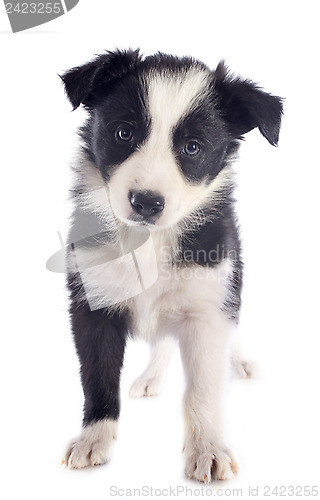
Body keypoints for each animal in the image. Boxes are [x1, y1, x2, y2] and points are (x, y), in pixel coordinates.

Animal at [60, 49, 282, 480]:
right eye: (124, 133)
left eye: (193, 147)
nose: (146, 202)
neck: (147, 240)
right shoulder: (90, 303)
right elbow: (97, 375)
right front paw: (94, 439)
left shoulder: (208, 303)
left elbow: (204, 385)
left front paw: (208, 448)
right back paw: (150, 377)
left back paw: (242, 361)